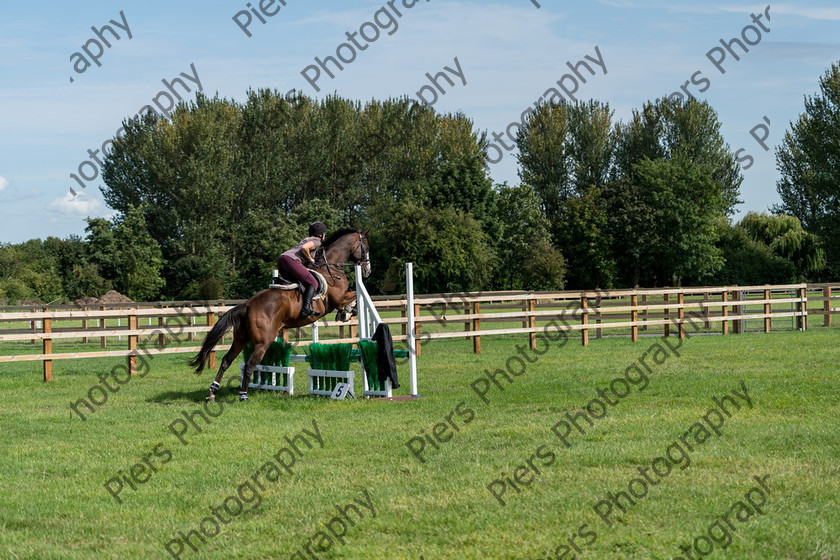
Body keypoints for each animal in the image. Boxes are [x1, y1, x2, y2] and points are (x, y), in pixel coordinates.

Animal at [195, 229, 372, 402]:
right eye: (366, 248)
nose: (367, 270)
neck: (332, 269)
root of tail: (247, 306)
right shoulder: (339, 297)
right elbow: (356, 296)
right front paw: (348, 312)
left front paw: (345, 313)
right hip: (262, 342)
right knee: (249, 365)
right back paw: (243, 395)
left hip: (241, 338)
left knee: (226, 360)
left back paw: (212, 393)